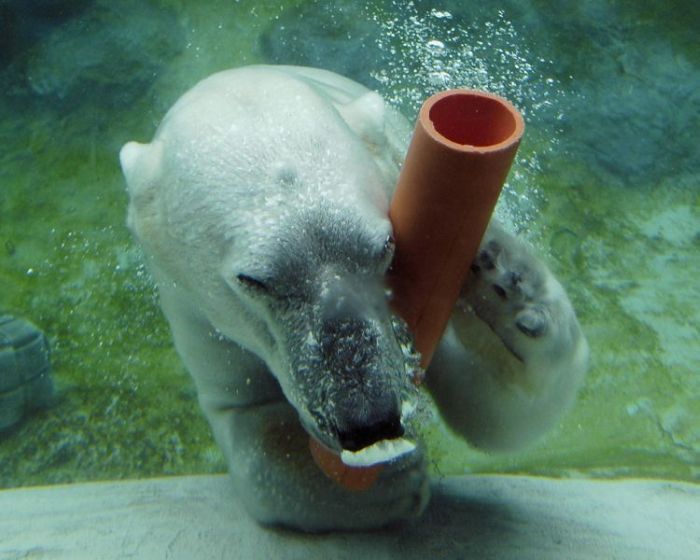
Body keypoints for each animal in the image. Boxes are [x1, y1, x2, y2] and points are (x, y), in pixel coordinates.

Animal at [119, 65, 584, 532]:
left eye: (384, 245)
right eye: (252, 280)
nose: (371, 422)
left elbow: (498, 419)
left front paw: (509, 289)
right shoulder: (196, 313)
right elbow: (254, 424)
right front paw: (395, 483)